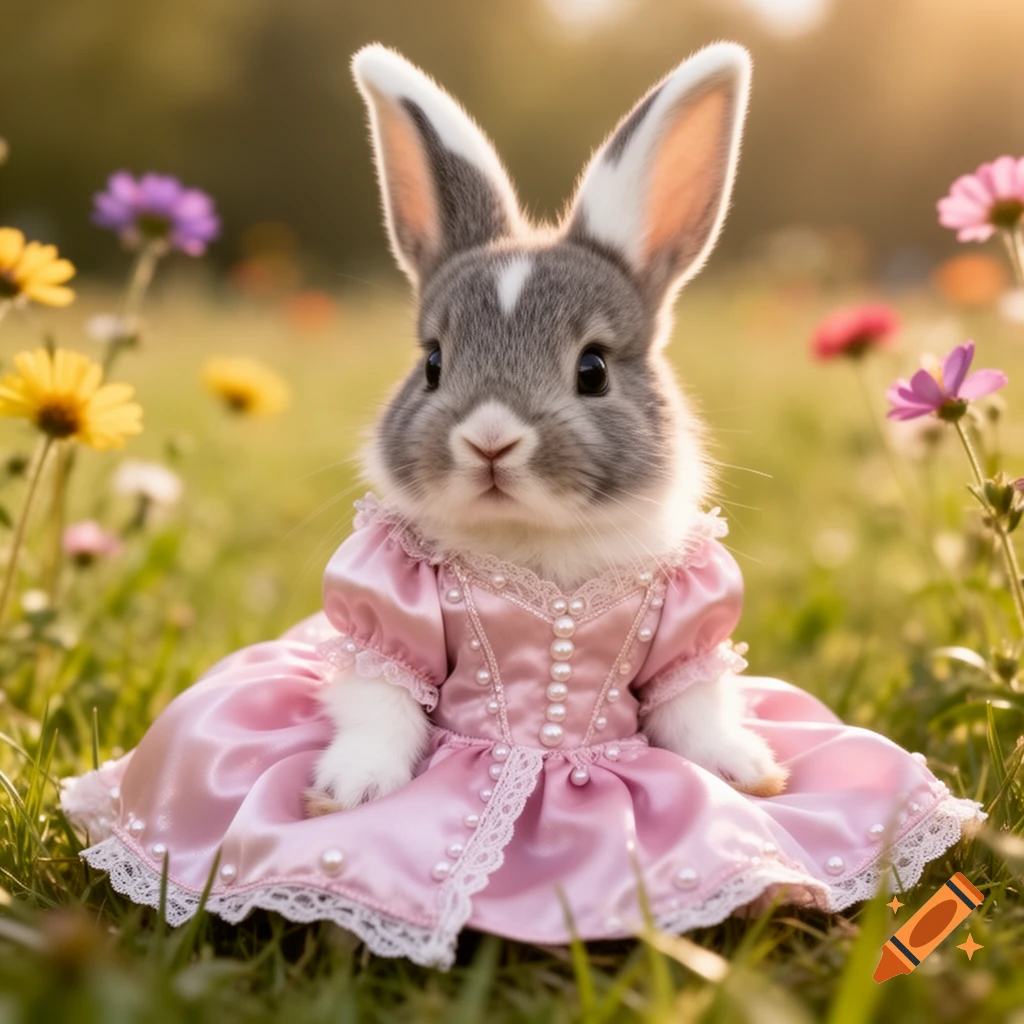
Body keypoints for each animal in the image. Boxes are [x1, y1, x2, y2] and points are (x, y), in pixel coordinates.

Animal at [305, 41, 787, 816]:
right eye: (433, 363)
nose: (490, 439)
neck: (533, 542)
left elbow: (693, 703)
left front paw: (748, 772)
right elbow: (382, 695)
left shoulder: (688, 633)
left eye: (593, 369)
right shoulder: (384, 618)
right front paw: (352, 790)